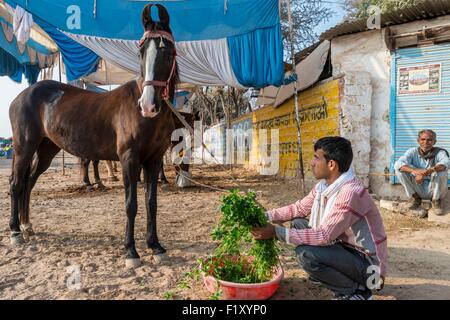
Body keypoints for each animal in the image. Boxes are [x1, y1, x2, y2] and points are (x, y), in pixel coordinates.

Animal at [8, 3, 178, 266]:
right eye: (141, 54)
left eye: (167, 53)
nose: (148, 106)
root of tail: (22, 96)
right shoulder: (129, 159)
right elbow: (131, 204)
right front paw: (131, 251)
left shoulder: (153, 160)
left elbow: (151, 203)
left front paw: (155, 246)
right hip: (24, 147)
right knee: (16, 184)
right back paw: (16, 232)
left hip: (46, 149)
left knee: (29, 182)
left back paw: (27, 226)